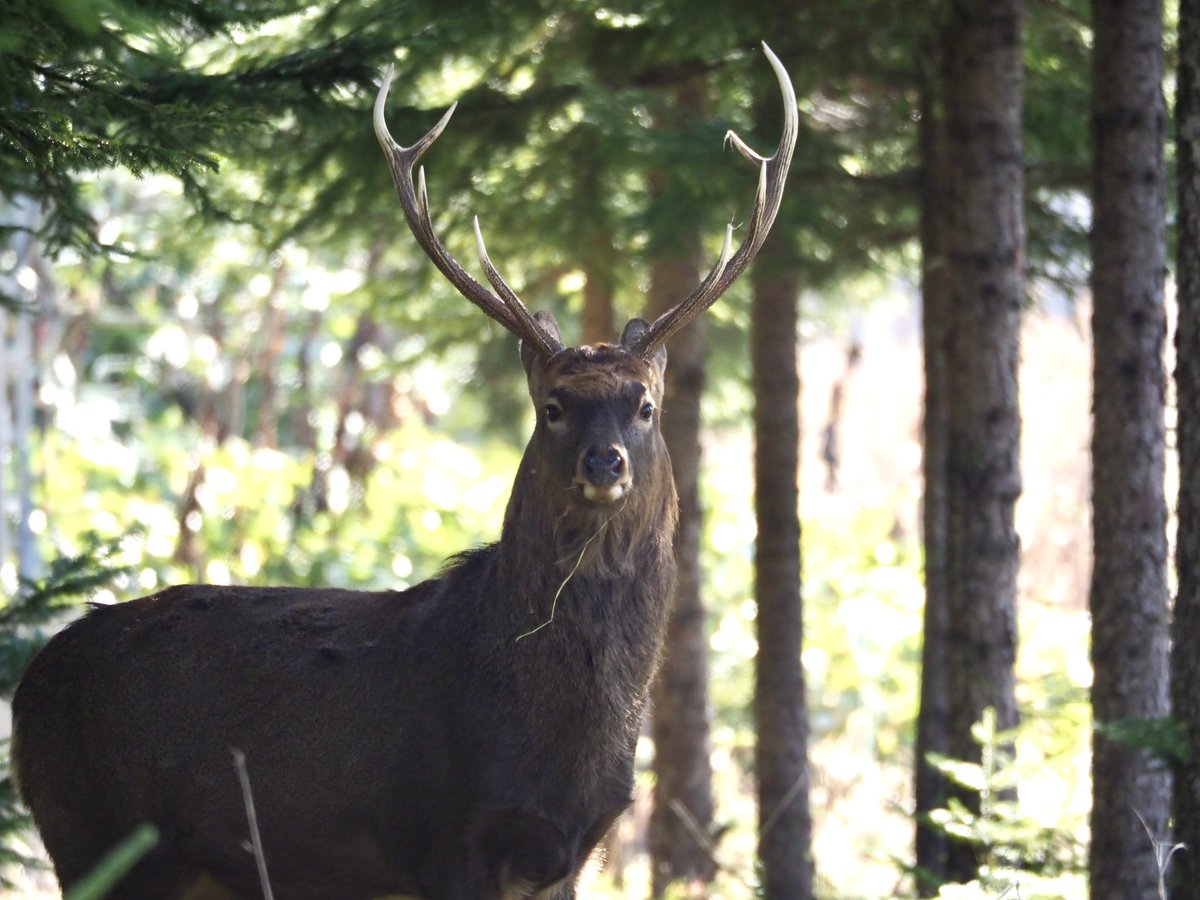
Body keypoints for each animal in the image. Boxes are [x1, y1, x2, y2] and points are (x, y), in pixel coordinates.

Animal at [11, 43, 796, 900]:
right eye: (553, 406)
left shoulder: (575, 847)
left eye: (644, 405)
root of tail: (26, 687)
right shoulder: (442, 836)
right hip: (91, 831)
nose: (604, 460)